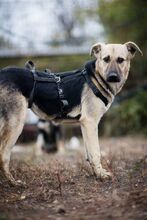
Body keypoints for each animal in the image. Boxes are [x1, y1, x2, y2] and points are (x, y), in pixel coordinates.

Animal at [0, 41, 142, 186]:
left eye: (120, 60)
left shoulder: (85, 125)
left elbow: (89, 153)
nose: (113, 77)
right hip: (16, 124)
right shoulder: (90, 122)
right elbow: (96, 152)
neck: (96, 78)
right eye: (106, 59)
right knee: (3, 155)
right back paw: (13, 182)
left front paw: (96, 173)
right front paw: (101, 175)